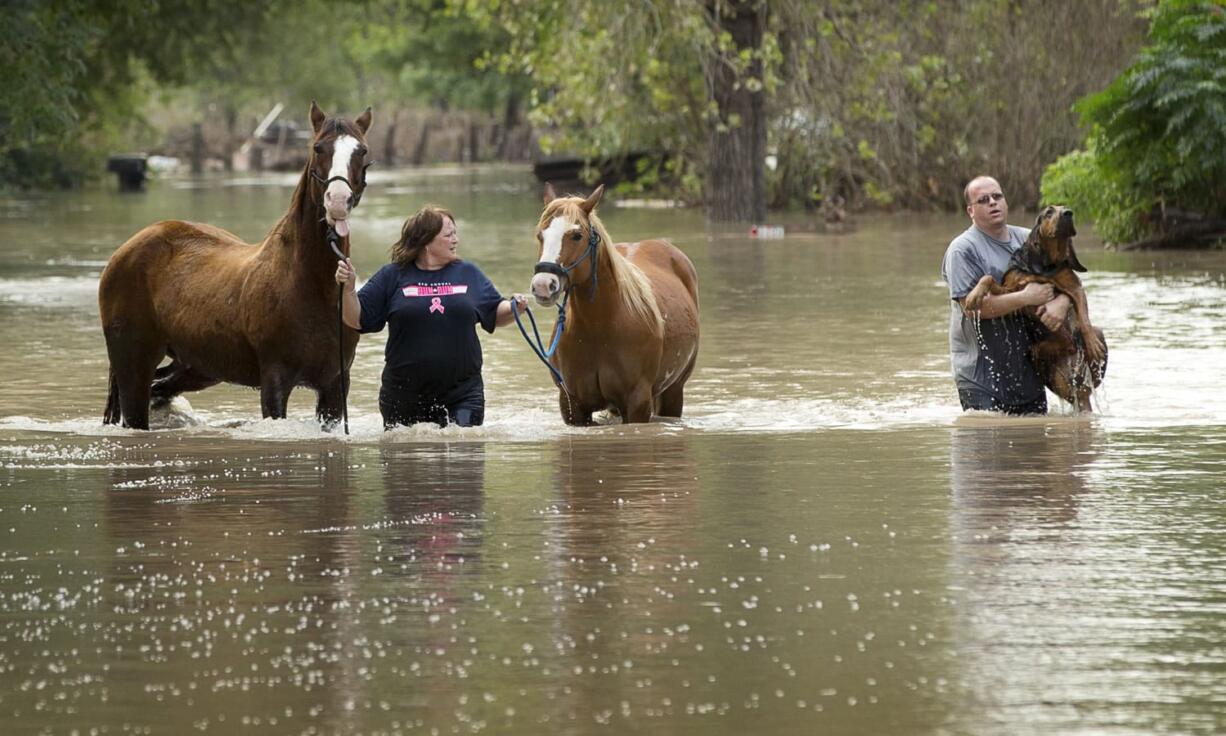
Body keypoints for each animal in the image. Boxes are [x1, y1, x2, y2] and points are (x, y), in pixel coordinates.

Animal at [99, 100, 372, 429]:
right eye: (318, 148)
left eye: (362, 151)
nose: (337, 201)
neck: (312, 285)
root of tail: (125, 251)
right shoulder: (274, 381)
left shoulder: (334, 386)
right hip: (133, 367)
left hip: (195, 366)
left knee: (161, 388)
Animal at [534, 184, 706, 424]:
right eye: (540, 235)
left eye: (577, 235)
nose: (542, 285)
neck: (599, 327)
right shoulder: (572, 405)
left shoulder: (637, 403)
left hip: (674, 392)